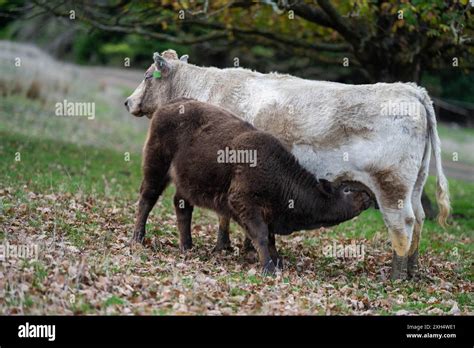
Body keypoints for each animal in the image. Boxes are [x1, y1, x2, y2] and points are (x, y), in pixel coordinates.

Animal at [127, 50, 452, 280]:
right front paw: (241, 247)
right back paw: (412, 271)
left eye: (148, 76)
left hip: (391, 186)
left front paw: (226, 246)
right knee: (420, 218)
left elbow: (225, 216)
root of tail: (411, 90)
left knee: (402, 224)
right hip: (415, 184)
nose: (128, 102)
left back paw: (396, 276)